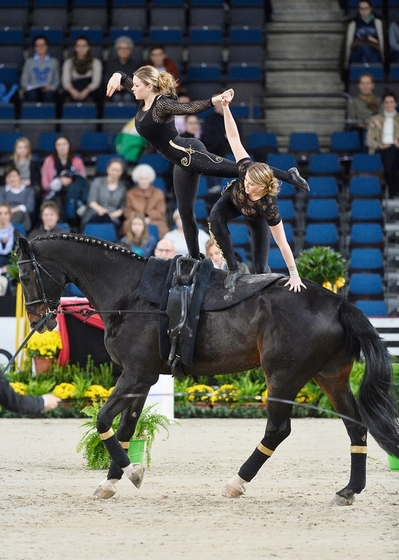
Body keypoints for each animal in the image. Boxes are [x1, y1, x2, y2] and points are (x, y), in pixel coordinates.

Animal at [15, 234, 399, 506]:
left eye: (25, 274)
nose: (38, 321)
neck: (130, 293)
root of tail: (337, 302)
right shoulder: (142, 378)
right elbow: (125, 427)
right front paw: (111, 481)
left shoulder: (136, 374)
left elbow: (104, 420)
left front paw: (132, 471)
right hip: (330, 375)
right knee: (355, 426)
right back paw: (349, 490)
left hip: (283, 376)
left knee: (278, 430)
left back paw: (237, 482)